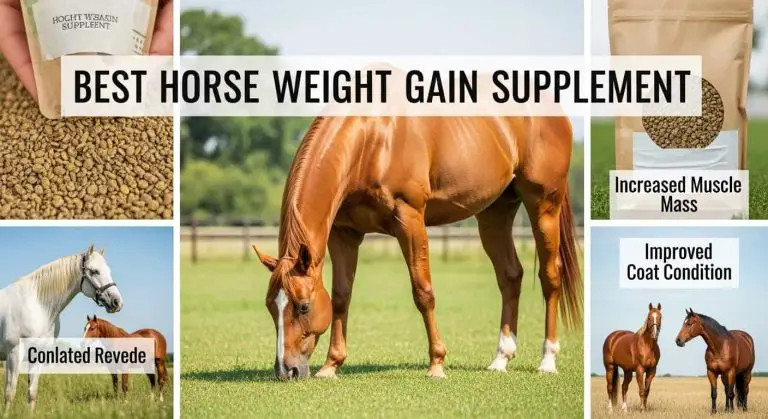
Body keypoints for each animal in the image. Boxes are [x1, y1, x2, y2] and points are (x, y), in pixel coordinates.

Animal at [0, 244, 122, 415]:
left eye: (108, 271)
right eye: (94, 271)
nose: (117, 302)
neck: (38, 306)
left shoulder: (37, 355)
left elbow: (32, 392)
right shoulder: (14, 353)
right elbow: (10, 392)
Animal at [251, 115, 582, 380]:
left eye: (303, 306)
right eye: (270, 306)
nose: (286, 370)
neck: (370, 141)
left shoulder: (409, 220)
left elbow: (423, 293)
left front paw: (437, 364)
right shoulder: (344, 234)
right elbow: (341, 298)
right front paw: (331, 366)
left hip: (543, 206)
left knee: (550, 278)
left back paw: (547, 361)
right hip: (495, 213)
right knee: (510, 276)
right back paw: (501, 358)